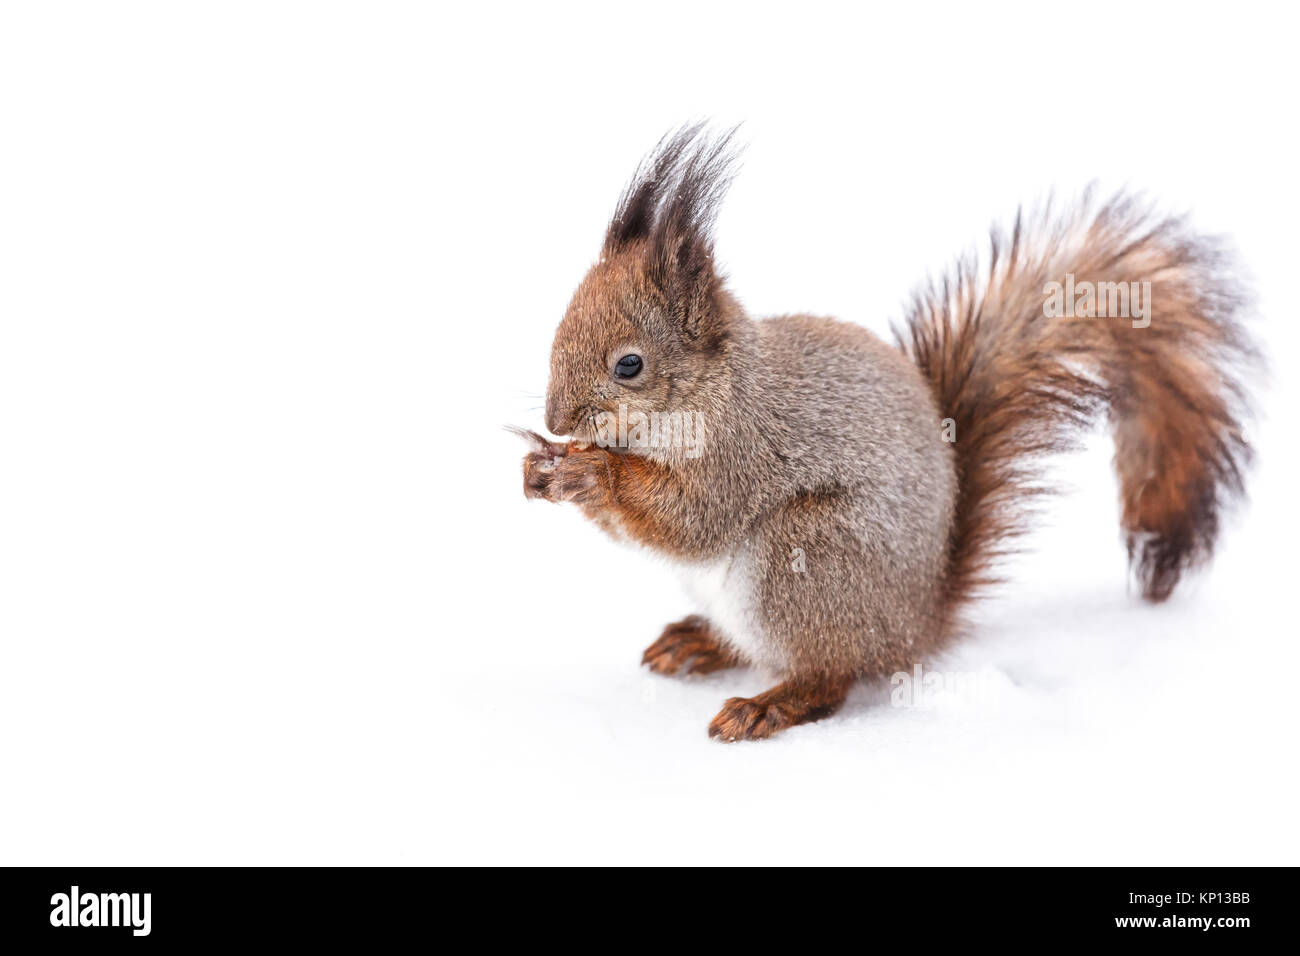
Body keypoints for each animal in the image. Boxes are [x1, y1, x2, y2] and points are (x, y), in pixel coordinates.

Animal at [519, 125, 1258, 741]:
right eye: (559, 329)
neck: (713, 390)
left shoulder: (741, 452)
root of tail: (914, 626)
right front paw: (541, 470)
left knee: (831, 676)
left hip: (807, 558)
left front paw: (590, 472)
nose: (556, 421)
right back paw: (699, 641)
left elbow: (692, 520)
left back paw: (769, 704)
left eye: (630, 365)